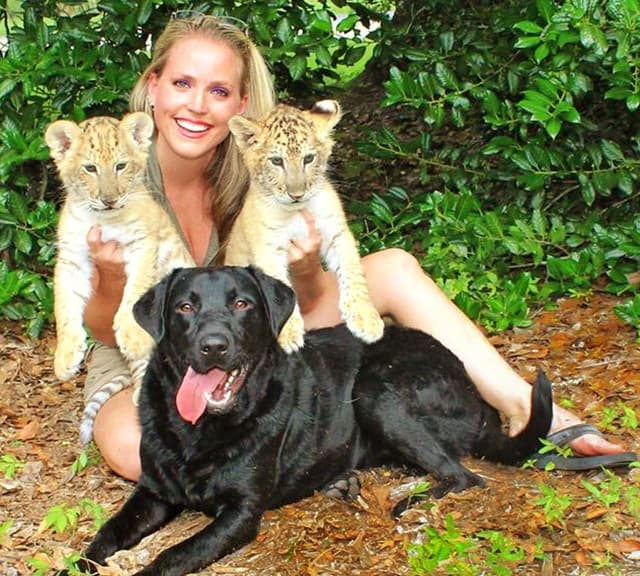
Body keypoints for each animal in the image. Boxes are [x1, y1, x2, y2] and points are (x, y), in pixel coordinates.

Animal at [66, 266, 556, 576]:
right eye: (185, 307)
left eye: (242, 303)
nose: (214, 345)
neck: (198, 430)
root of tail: (475, 392)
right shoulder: (152, 492)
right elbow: (104, 535)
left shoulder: (240, 513)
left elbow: (172, 555)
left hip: (377, 390)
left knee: (464, 476)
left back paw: (409, 502)